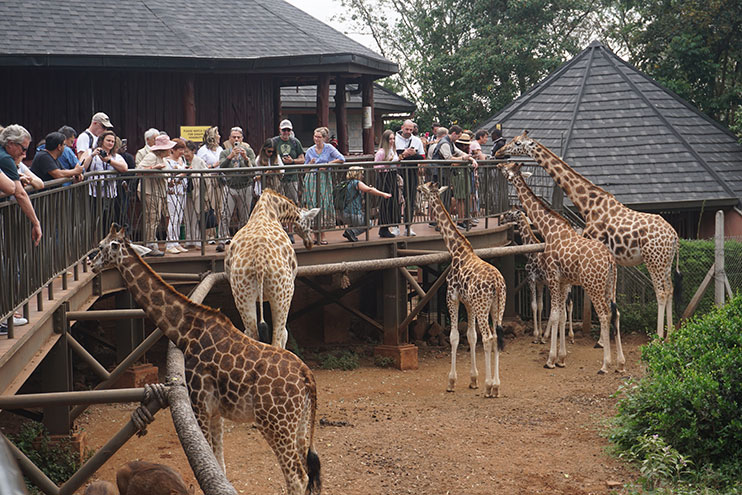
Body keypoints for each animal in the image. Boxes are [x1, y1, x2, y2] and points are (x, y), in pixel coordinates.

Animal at [91, 225, 322, 495]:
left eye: (103, 246)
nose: (91, 264)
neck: (185, 332)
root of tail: (308, 378)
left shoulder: (198, 404)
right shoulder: (215, 411)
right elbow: (219, 464)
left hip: (276, 424)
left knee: (297, 478)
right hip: (300, 424)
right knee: (310, 474)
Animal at [225, 189, 319, 348]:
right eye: (309, 222)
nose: (310, 243)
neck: (270, 208)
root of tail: (260, 262)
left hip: (242, 296)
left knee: (251, 335)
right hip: (283, 297)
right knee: (279, 337)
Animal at [418, 182, 507, 398]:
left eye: (424, 188)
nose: (417, 187)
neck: (456, 249)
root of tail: (498, 283)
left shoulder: (452, 297)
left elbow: (455, 337)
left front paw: (451, 382)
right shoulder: (469, 303)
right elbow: (471, 336)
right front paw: (473, 380)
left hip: (483, 306)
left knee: (489, 337)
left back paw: (489, 387)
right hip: (497, 306)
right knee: (497, 336)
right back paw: (496, 386)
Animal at [500, 208, 574, 345]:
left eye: (509, 213)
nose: (501, 219)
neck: (530, 252)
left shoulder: (531, 279)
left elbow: (534, 306)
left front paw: (536, 335)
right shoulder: (540, 282)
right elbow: (541, 306)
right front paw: (539, 334)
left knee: (561, 306)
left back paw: (548, 336)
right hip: (567, 284)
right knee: (568, 305)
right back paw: (569, 336)